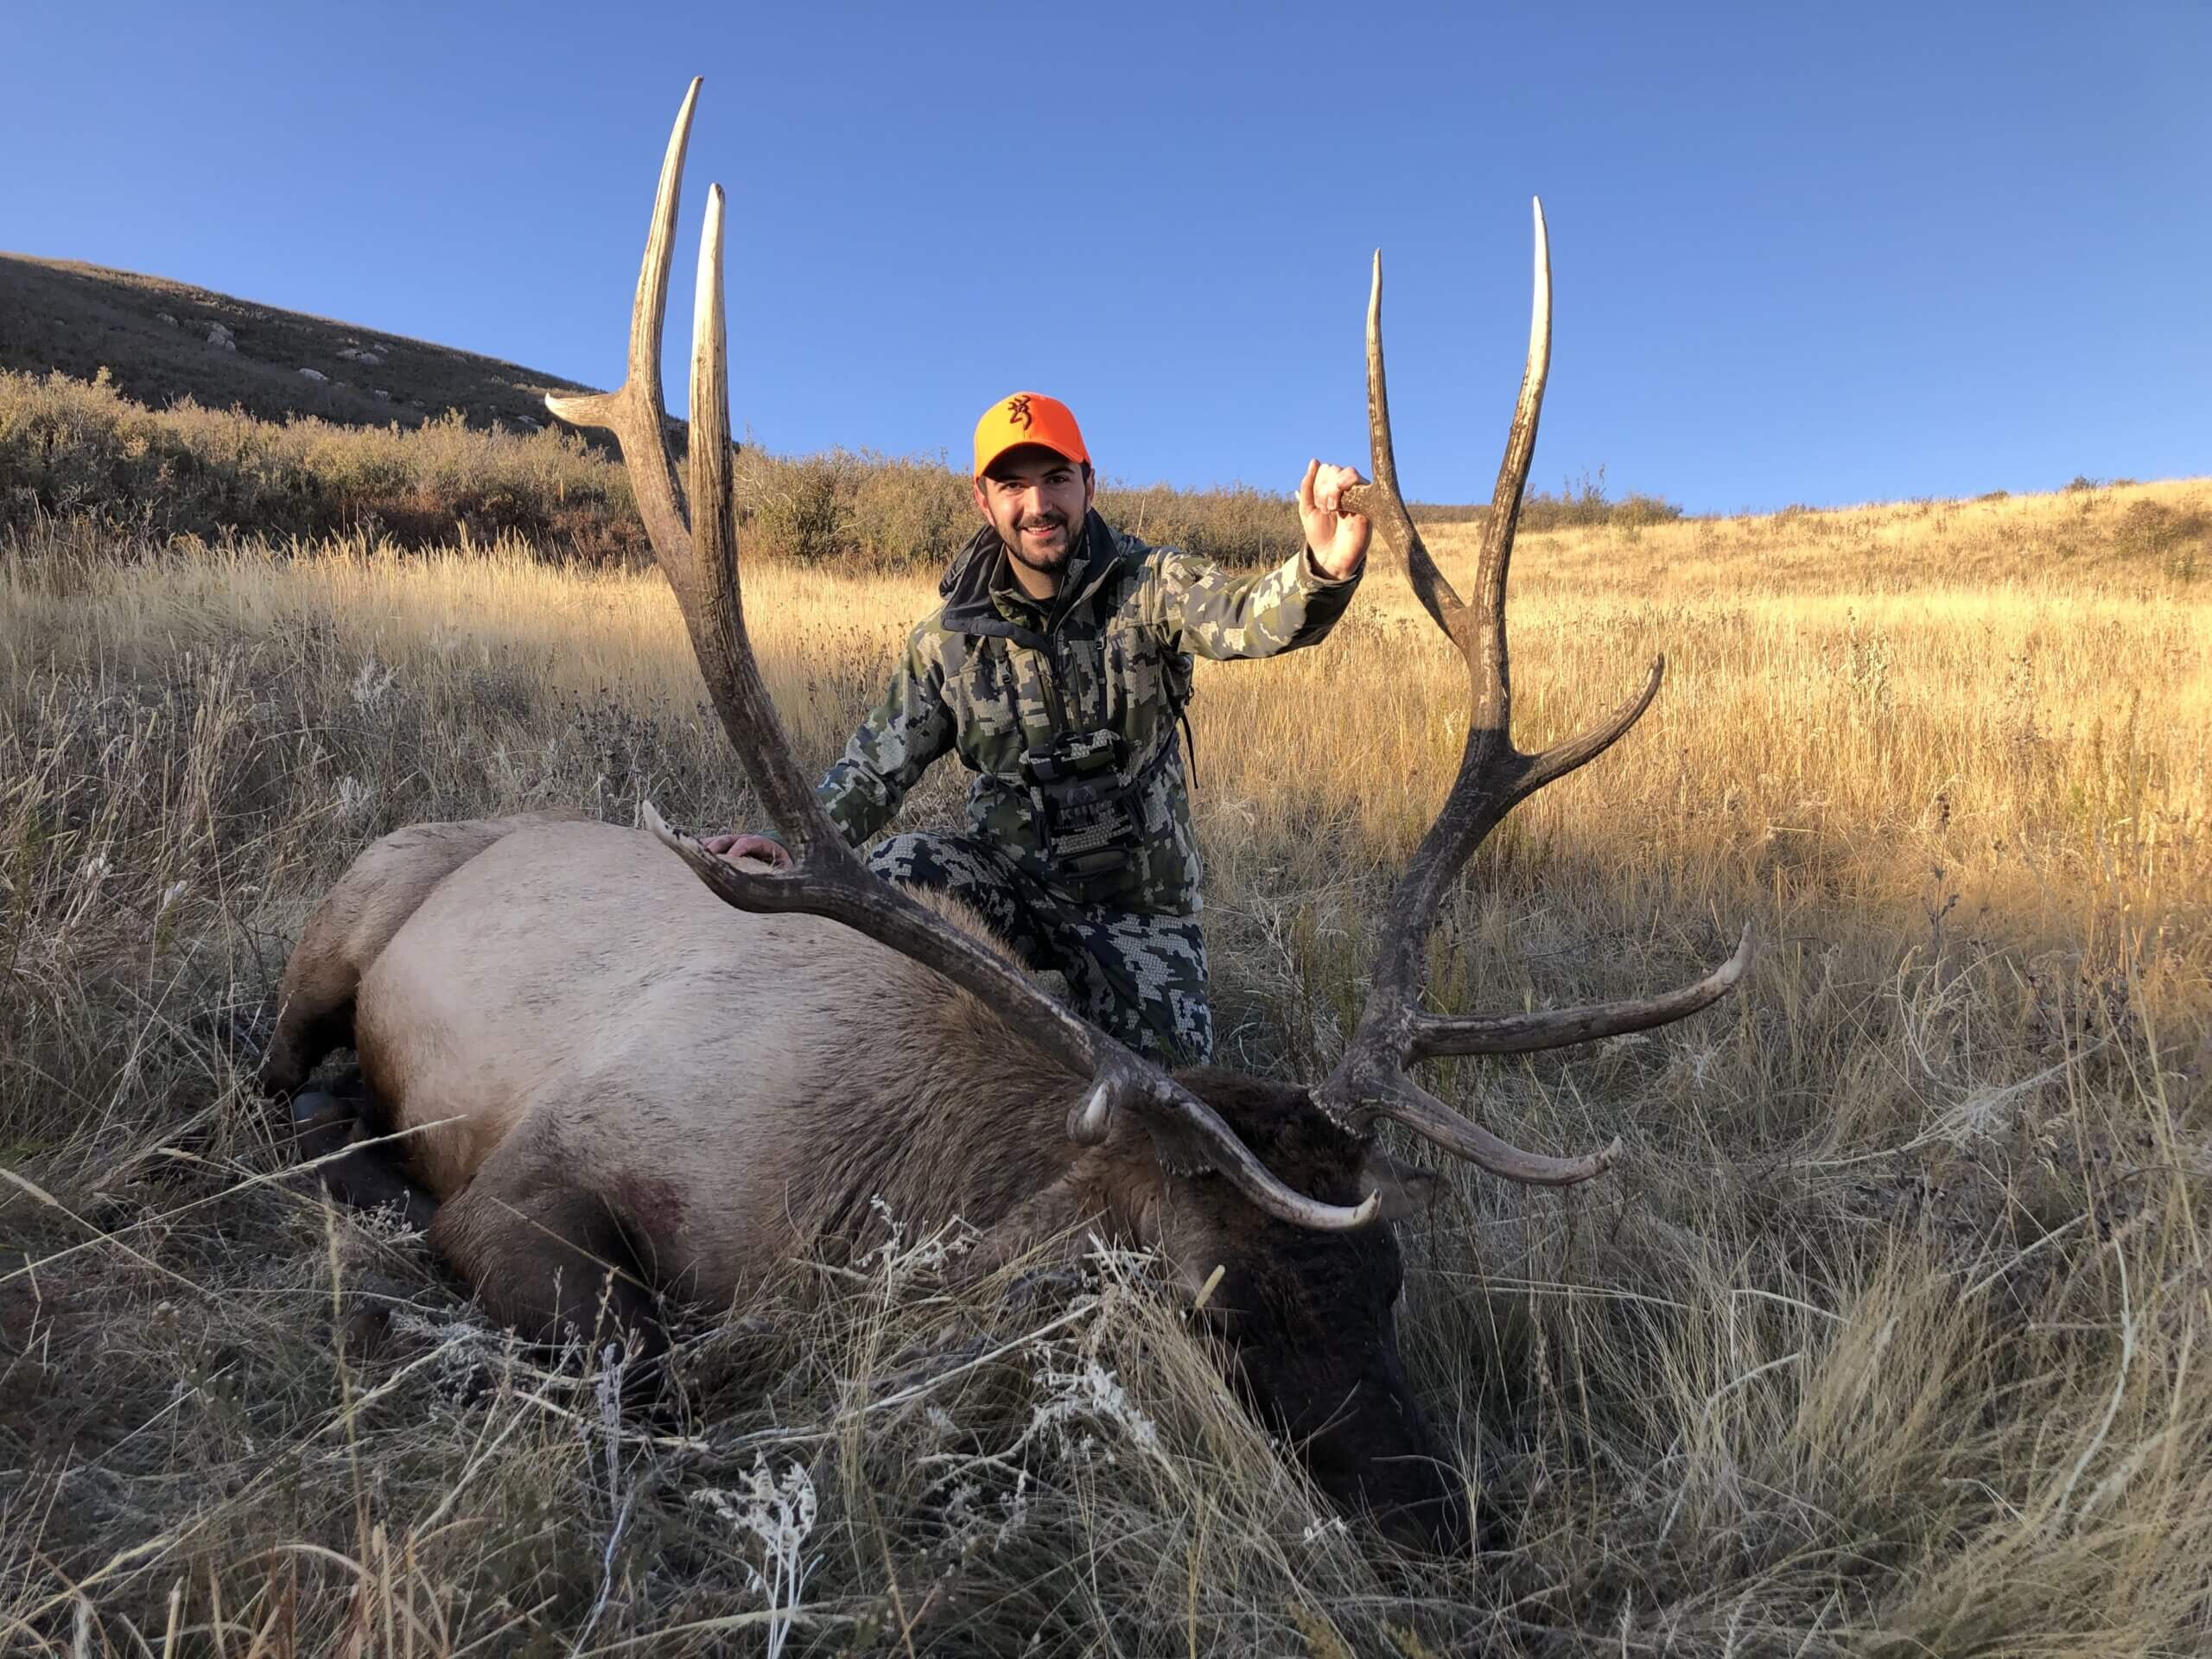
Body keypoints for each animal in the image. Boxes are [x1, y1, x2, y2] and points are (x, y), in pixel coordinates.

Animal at [259, 78, 1750, 1553]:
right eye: (1214, 1306)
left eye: (1387, 1277)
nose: (1442, 1519)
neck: (854, 1189)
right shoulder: (533, 1177)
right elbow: (641, 1366)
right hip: (345, 913)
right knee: (275, 1073)